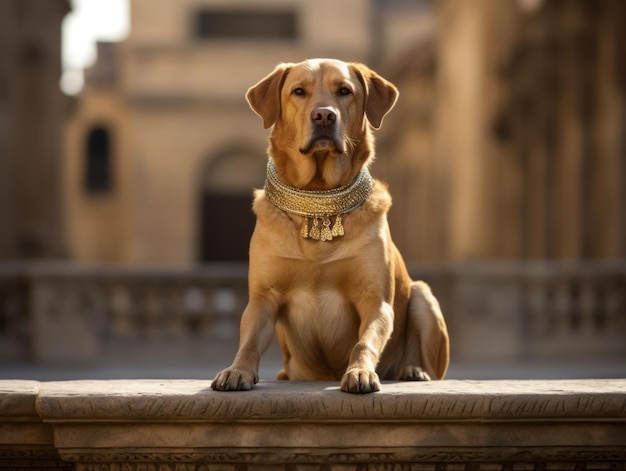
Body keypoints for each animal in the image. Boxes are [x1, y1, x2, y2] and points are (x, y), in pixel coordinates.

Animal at [212, 58, 446, 394]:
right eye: (299, 91)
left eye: (344, 90)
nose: (324, 115)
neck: (319, 198)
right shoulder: (263, 298)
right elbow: (249, 342)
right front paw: (237, 371)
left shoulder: (376, 300)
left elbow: (364, 342)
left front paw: (360, 372)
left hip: (423, 297)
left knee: (427, 359)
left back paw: (414, 370)